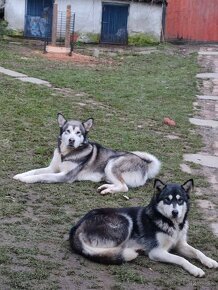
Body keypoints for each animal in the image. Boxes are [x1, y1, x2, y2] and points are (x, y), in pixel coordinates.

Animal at [13, 113, 160, 195]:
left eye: (78, 133)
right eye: (67, 131)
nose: (71, 140)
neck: (65, 155)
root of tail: (145, 164)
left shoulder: (65, 176)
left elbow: (42, 175)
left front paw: (26, 180)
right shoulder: (52, 168)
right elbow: (35, 170)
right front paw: (20, 175)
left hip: (111, 163)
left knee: (124, 187)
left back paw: (107, 190)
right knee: (120, 184)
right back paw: (106, 186)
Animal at [69, 179, 218, 276]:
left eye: (180, 200)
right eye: (167, 199)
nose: (175, 212)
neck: (171, 223)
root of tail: (76, 226)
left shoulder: (180, 244)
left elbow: (197, 251)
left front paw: (209, 261)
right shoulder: (157, 251)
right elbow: (181, 259)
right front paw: (195, 269)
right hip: (124, 221)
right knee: (100, 251)